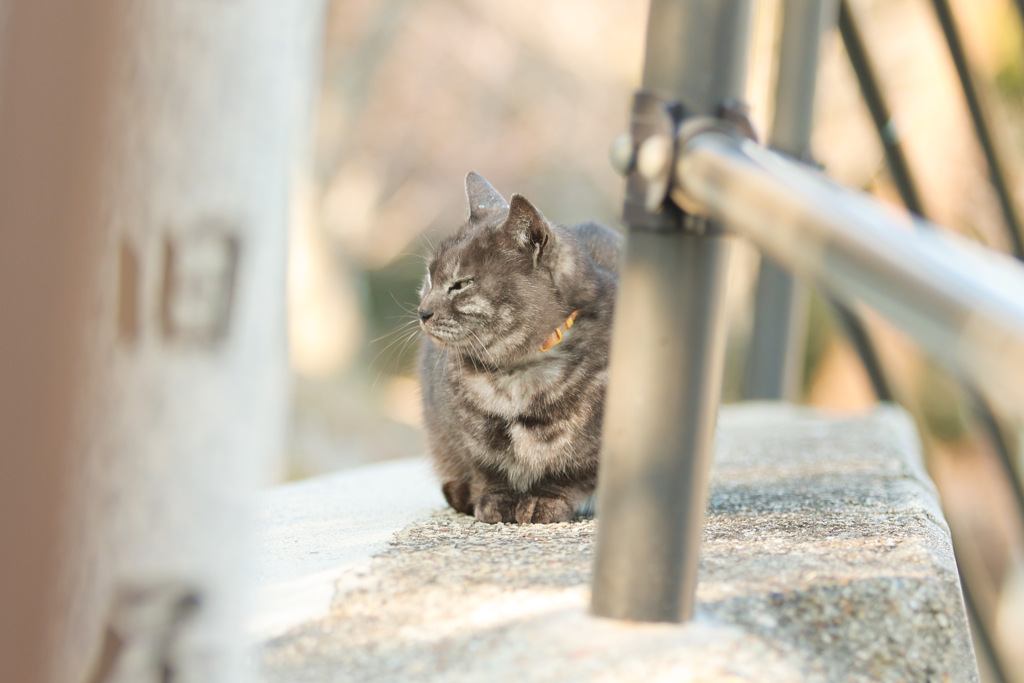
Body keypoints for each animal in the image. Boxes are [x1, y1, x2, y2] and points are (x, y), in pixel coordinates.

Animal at [417, 174, 622, 528]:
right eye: (429, 278)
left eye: (461, 284)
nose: (422, 311)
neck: (513, 378)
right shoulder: (466, 431)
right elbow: (489, 469)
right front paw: (496, 502)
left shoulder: (596, 439)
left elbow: (571, 471)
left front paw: (544, 500)